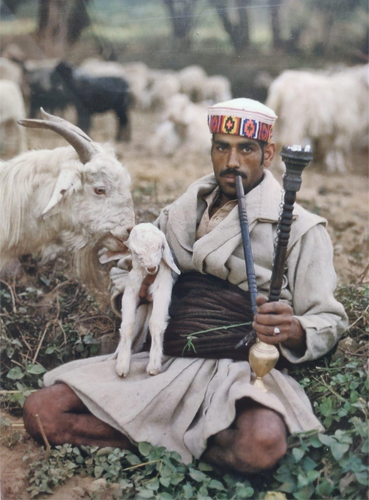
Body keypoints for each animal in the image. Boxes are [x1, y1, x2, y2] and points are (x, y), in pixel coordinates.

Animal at [108, 223, 180, 376]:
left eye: (160, 247)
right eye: (135, 253)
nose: (151, 268)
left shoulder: (162, 287)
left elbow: (156, 324)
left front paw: (154, 366)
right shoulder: (132, 289)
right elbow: (128, 326)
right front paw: (122, 365)